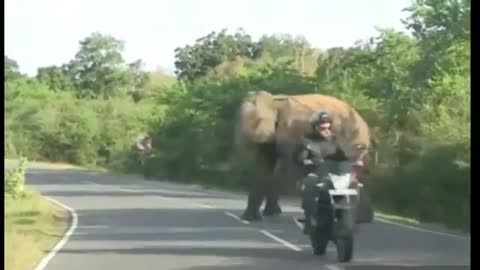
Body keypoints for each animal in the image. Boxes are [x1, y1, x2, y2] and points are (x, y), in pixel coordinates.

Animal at [234, 89, 374, 220]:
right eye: (238, 119)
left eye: (258, 120)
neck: (274, 100)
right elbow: (264, 165)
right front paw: (250, 218)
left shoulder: (289, 129)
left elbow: (286, 164)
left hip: (355, 142)